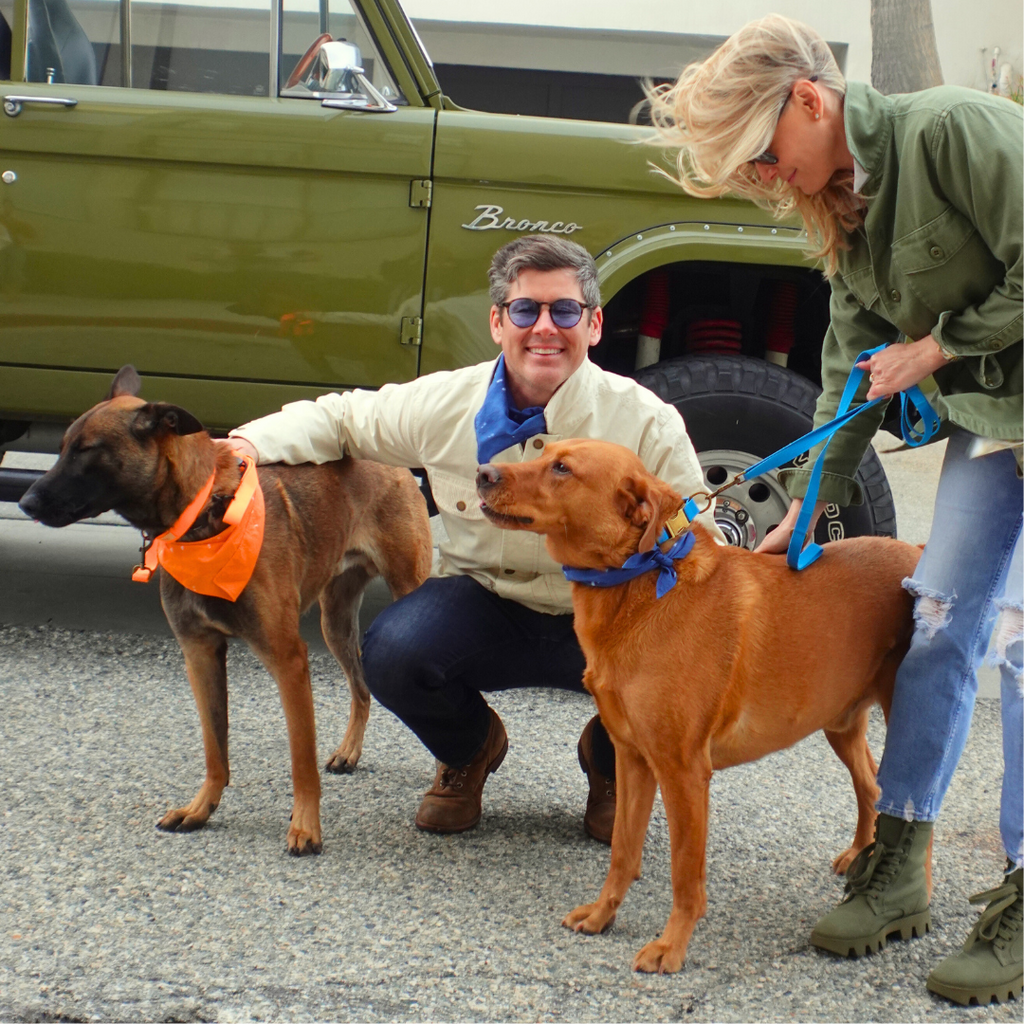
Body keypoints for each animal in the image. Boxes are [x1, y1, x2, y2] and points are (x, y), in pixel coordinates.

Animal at [475, 438, 925, 974]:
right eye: (545, 448)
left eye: (562, 468)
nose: (482, 473)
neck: (640, 584)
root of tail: (919, 551)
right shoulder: (633, 758)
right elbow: (623, 850)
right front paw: (604, 914)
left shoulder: (684, 771)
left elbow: (684, 873)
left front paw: (673, 945)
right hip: (840, 720)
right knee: (871, 786)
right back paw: (860, 851)